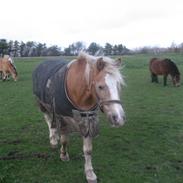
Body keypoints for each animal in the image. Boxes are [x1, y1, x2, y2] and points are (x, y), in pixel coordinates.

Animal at [32, 52, 126, 182]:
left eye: (118, 85)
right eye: (100, 86)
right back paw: (53, 139)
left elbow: (88, 149)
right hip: (42, 104)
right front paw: (64, 155)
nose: (118, 118)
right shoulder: (63, 117)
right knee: (49, 120)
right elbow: (65, 140)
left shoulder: (88, 120)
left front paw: (90, 173)